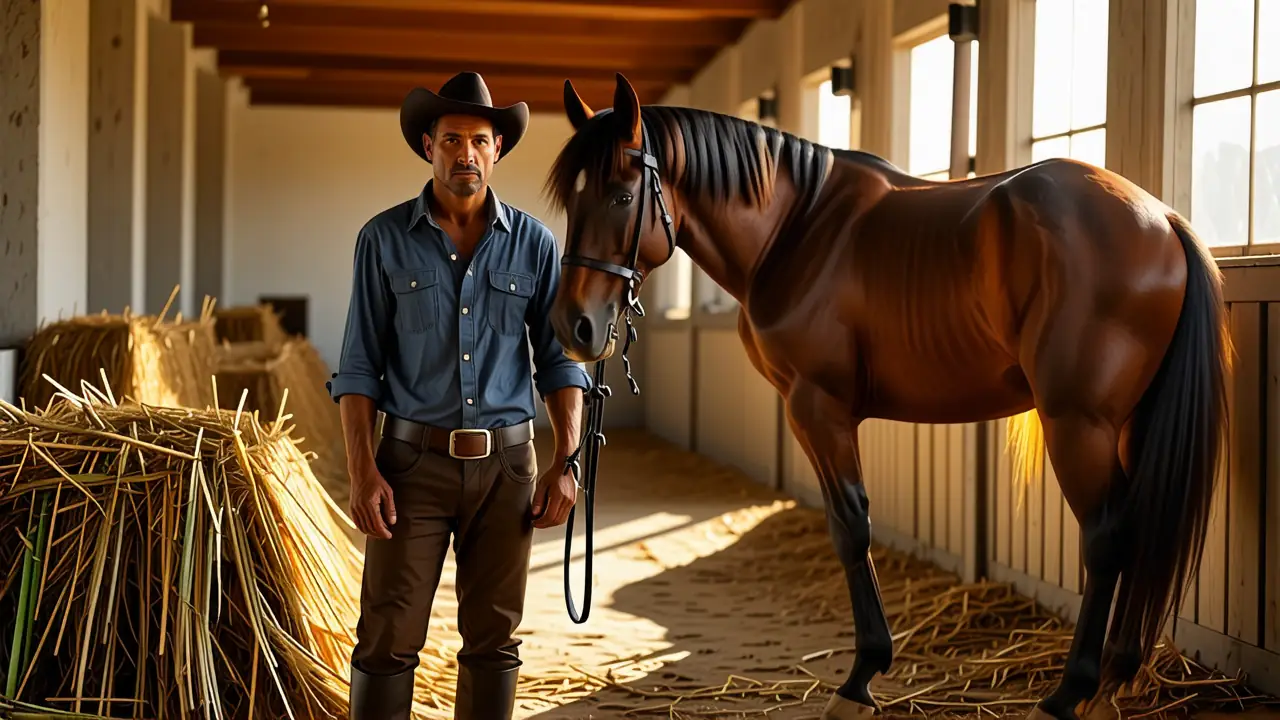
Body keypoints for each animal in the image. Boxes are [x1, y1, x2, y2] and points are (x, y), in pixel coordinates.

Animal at [543, 73, 1231, 720]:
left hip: (1078, 422)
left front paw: (860, 678)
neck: (797, 230)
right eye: (571, 200)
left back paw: (1070, 693)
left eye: (622, 196)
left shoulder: (817, 407)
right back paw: (1113, 681)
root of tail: (1162, 221)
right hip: (1128, 422)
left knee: (1106, 536)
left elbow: (851, 526)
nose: (574, 327)